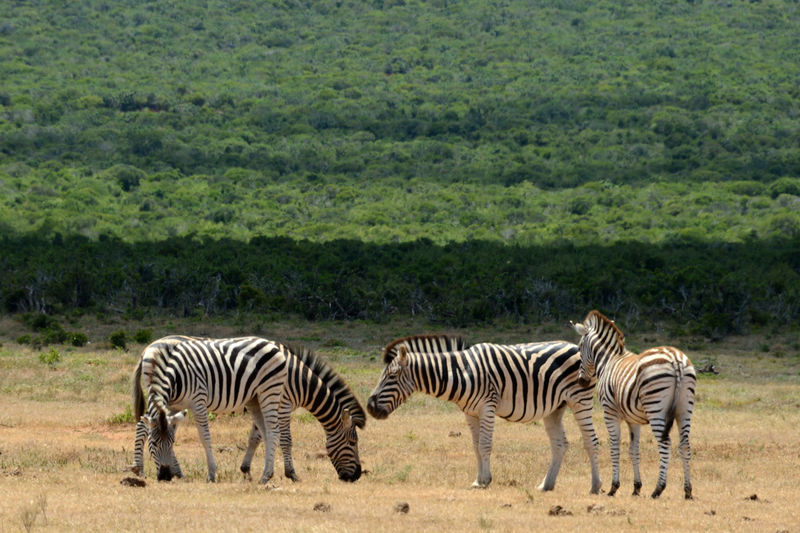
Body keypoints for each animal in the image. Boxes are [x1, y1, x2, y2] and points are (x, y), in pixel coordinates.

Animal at [133, 336, 290, 482]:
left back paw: (266, 475)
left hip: (270, 390)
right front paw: (177, 471)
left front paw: (211, 474)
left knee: (273, 431)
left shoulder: (198, 401)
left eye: (171, 443)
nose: (165, 476)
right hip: (255, 398)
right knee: (265, 432)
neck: (177, 376)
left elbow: (205, 437)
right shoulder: (173, 406)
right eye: (153, 443)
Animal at [239, 342, 368, 484]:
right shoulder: (282, 405)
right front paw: (290, 473)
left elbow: (256, 437)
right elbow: (285, 440)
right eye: (352, 442)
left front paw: (246, 469)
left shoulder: (266, 405)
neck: (300, 382)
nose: (357, 475)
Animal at [364, 334, 600, 492]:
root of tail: (576, 346)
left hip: (579, 399)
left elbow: (485, 445)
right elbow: (476, 447)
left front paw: (486, 481)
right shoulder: (470, 412)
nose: (370, 407)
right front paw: (478, 480)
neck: (462, 373)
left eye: (392, 376)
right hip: (555, 408)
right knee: (560, 445)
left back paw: (595, 486)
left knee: (591, 441)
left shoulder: (488, 406)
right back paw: (546, 485)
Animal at [572, 308, 696, 498]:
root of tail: (676, 359)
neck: (609, 360)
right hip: (684, 409)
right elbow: (634, 450)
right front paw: (636, 487)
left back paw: (658, 489)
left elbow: (615, 446)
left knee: (665, 443)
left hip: (656, 408)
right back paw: (687, 490)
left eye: (579, 348)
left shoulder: (610, 412)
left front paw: (614, 487)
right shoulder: (633, 419)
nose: (582, 382)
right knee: (685, 445)